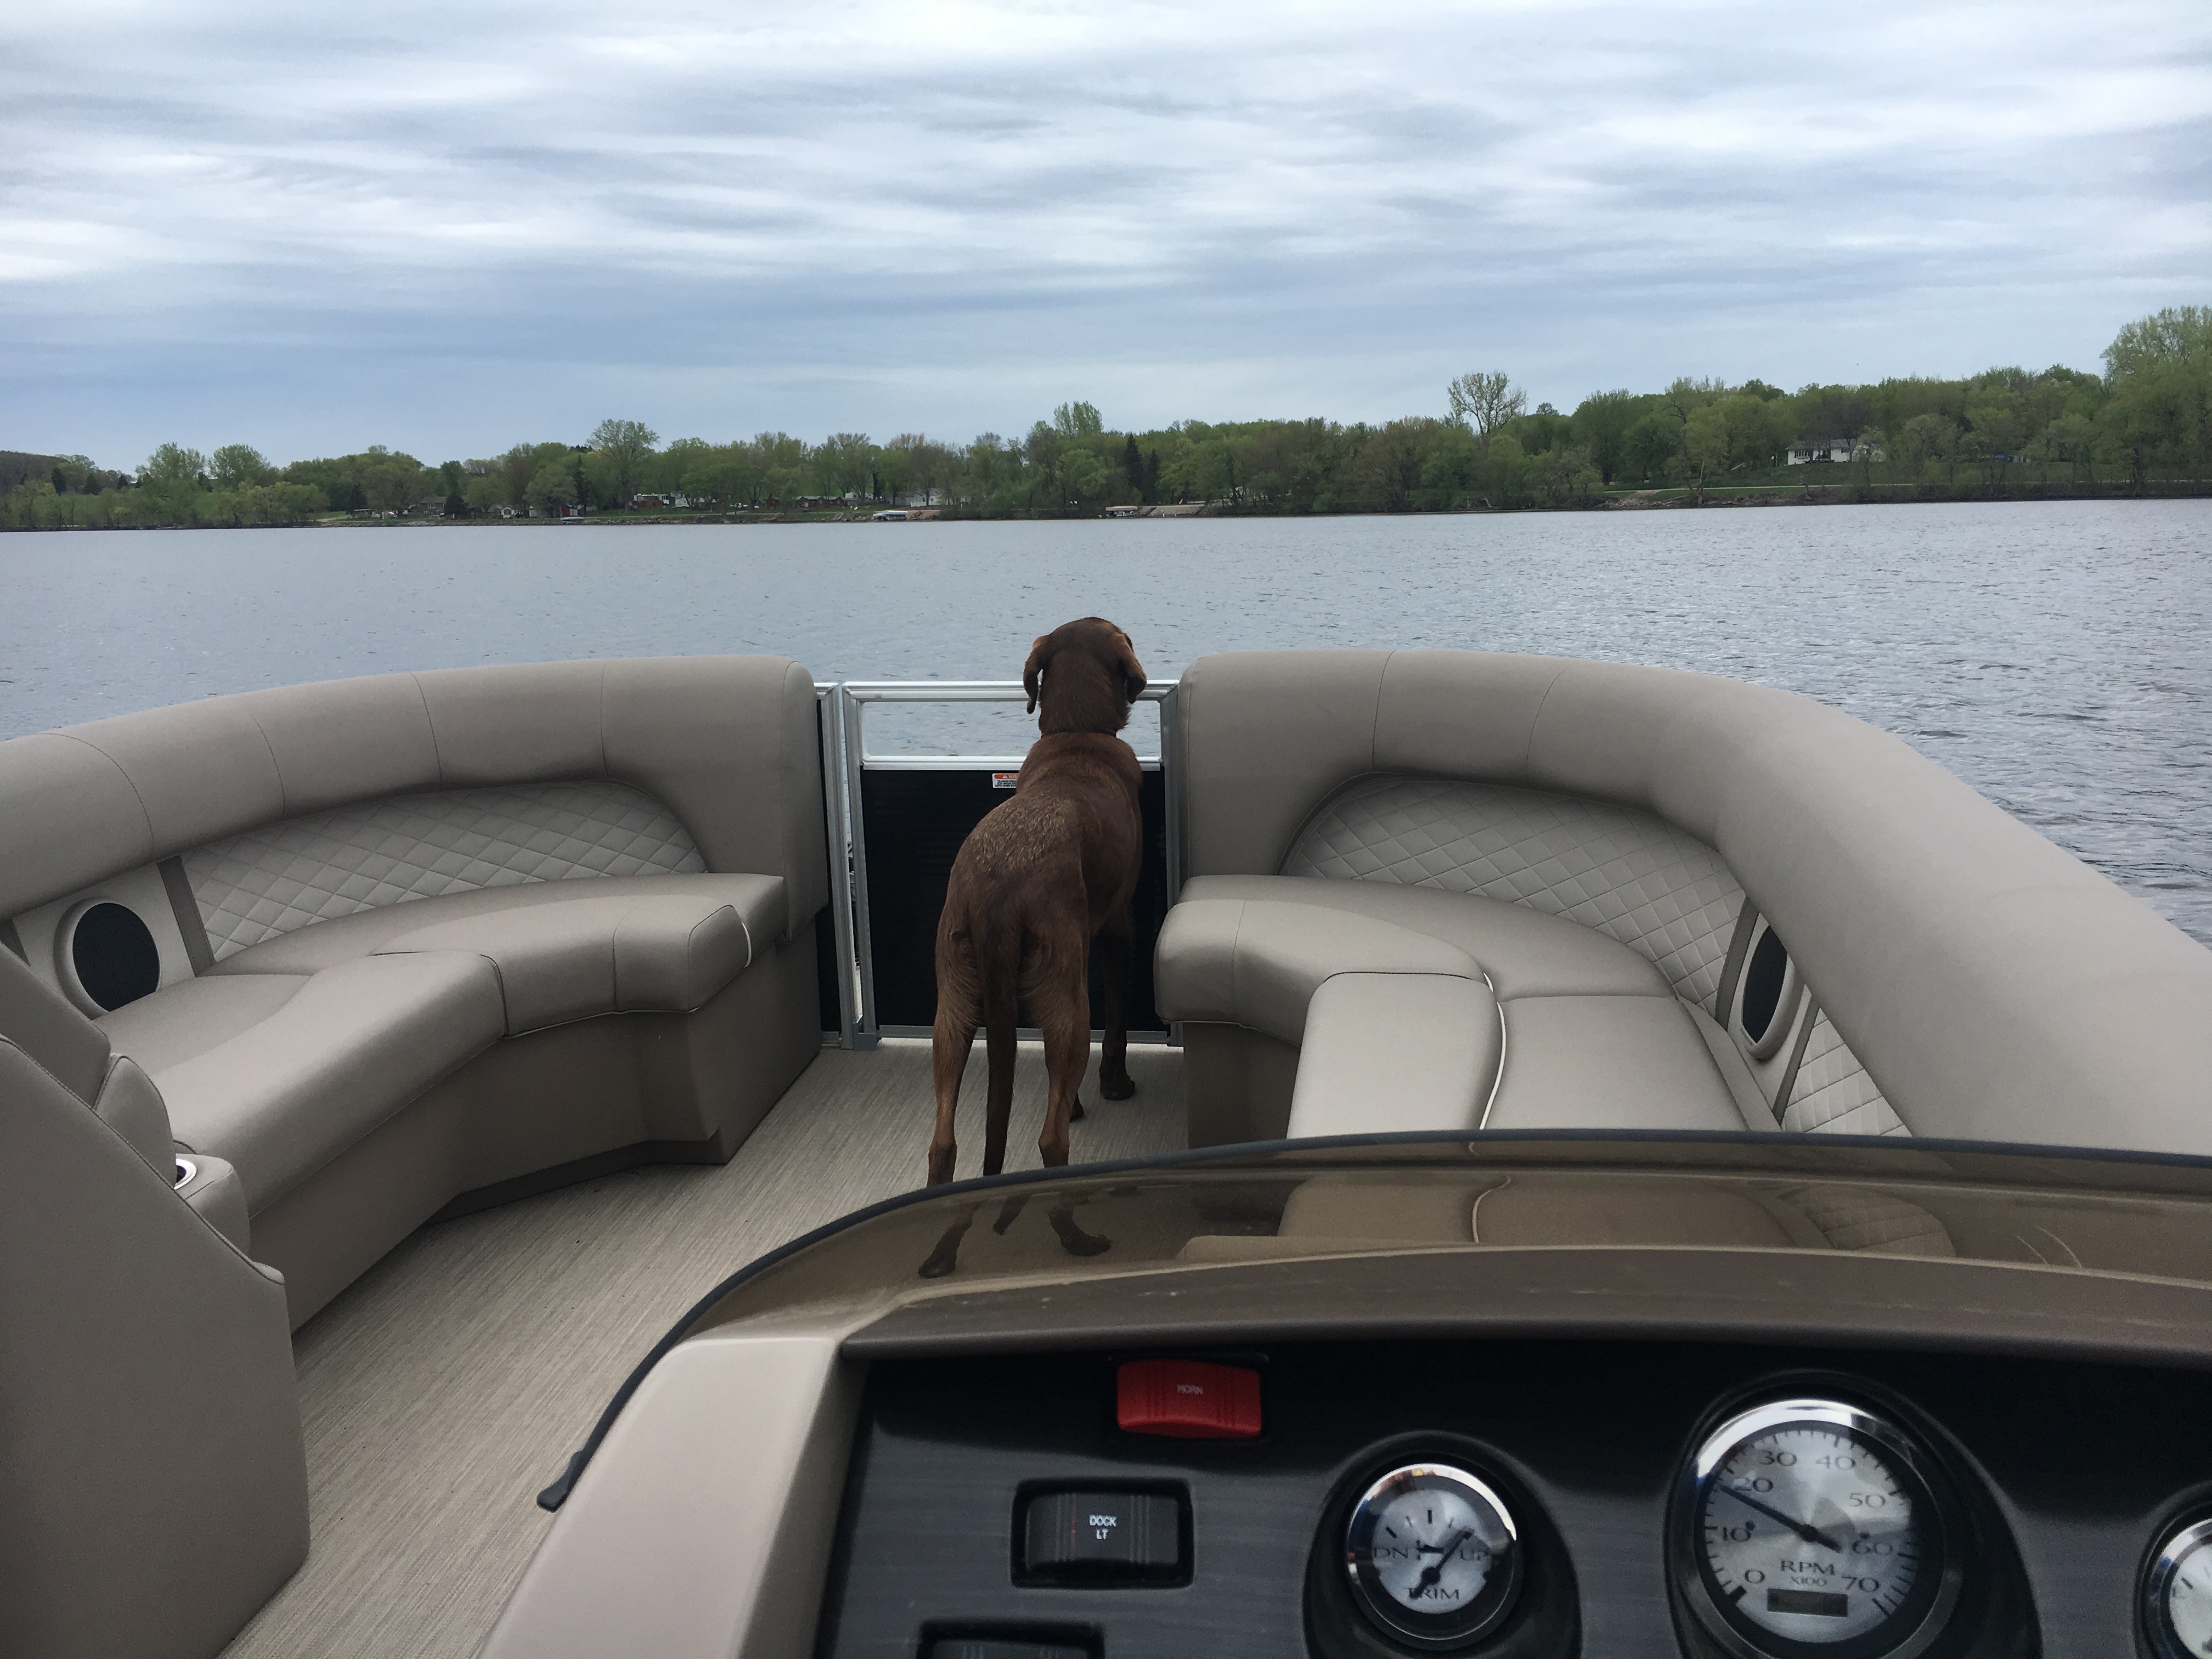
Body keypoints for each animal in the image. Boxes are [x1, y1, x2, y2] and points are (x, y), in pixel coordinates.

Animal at [924, 619, 1150, 1186]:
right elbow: (1118, 1015)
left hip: (953, 995)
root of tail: (995, 892)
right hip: (1067, 1000)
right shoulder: (1118, 927)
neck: (1077, 735)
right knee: (1051, 1136)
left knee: (942, 1142)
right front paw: (1114, 1084)